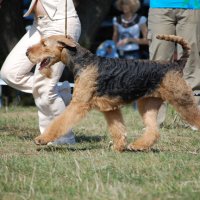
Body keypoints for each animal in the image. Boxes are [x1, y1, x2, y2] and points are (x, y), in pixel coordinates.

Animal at [25, 34, 200, 152]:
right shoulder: (110, 108)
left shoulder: (78, 104)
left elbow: (60, 122)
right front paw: (119, 147)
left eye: (44, 44)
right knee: (153, 130)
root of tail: (176, 64)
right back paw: (137, 146)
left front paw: (41, 139)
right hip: (147, 105)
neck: (83, 62)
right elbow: (118, 129)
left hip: (182, 100)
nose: (27, 53)